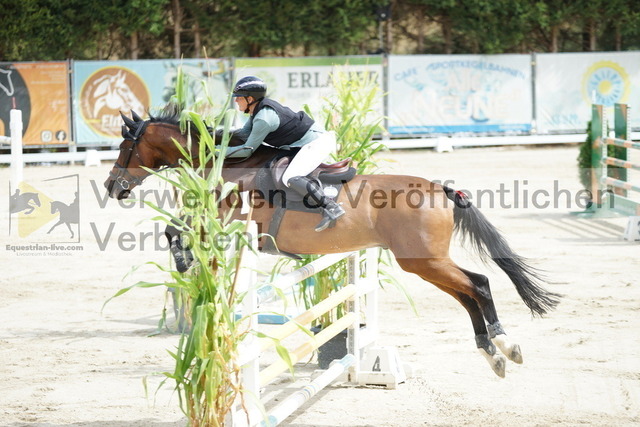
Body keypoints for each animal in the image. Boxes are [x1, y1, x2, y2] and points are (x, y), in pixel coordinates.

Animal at [103, 108, 560, 378]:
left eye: (126, 146)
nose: (112, 187)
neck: (225, 163)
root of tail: (440, 189)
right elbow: (176, 228)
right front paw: (187, 264)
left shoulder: (223, 218)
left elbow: (176, 229)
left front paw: (184, 261)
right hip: (423, 262)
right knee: (467, 292)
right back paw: (492, 352)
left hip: (422, 260)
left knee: (477, 285)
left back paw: (505, 345)